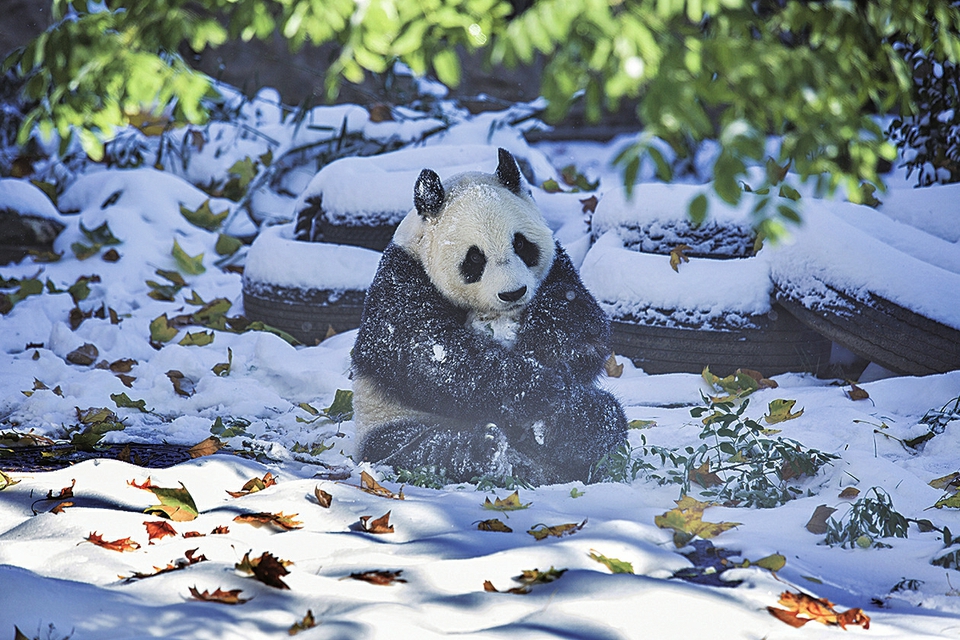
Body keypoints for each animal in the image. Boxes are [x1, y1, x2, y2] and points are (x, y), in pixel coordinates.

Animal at [348, 148, 628, 482]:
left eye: (521, 244)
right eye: (474, 258)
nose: (513, 293)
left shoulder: (559, 267)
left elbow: (588, 328)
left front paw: (550, 334)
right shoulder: (401, 279)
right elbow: (425, 352)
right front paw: (536, 389)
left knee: (607, 419)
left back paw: (564, 426)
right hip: (383, 418)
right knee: (410, 447)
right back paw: (485, 451)